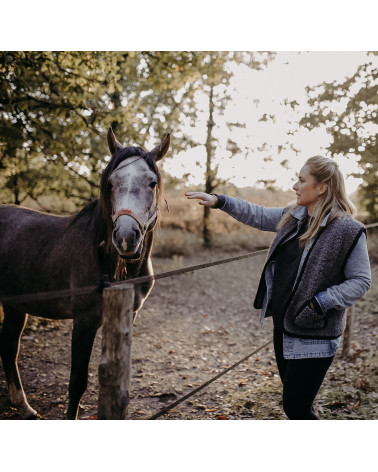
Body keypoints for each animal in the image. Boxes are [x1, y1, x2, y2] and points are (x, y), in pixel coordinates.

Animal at [0, 127, 170, 418]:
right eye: (110, 183)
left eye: (152, 183)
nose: (125, 238)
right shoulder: (84, 321)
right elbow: (77, 382)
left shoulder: (128, 316)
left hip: (15, 306)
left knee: (9, 347)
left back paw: (24, 406)